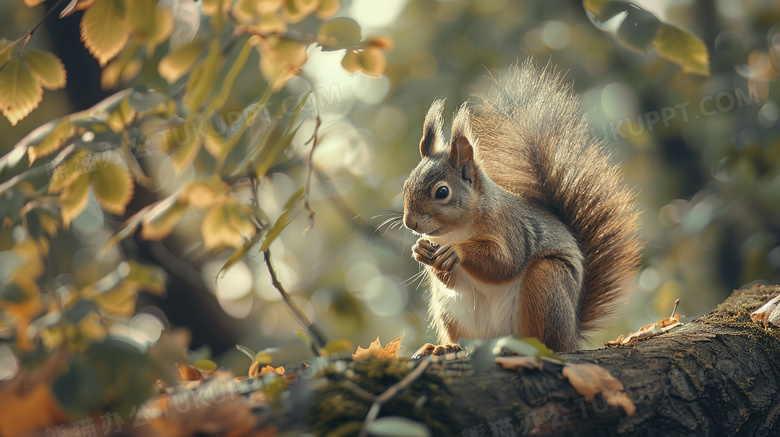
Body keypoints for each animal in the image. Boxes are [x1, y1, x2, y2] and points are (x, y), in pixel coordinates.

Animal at [402, 60, 640, 354]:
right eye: (406, 184)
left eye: (442, 192)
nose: (409, 222)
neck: (455, 229)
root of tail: (572, 334)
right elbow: (449, 278)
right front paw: (420, 250)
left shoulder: (509, 227)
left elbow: (505, 262)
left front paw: (457, 251)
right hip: (451, 311)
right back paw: (445, 348)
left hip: (547, 283)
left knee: (548, 339)